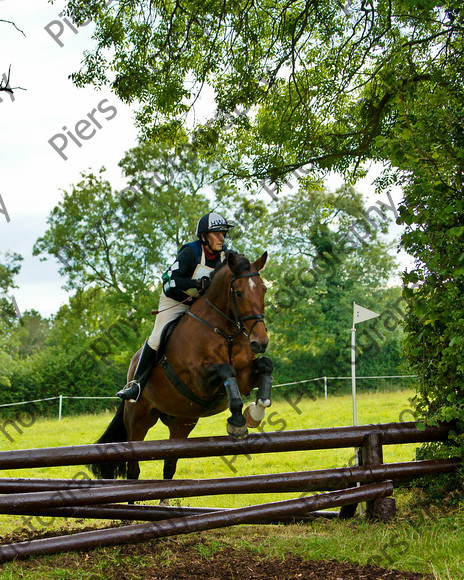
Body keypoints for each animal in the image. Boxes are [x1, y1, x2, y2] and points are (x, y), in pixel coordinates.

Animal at [89, 251, 274, 482]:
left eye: (263, 289)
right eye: (239, 293)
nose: (260, 342)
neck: (225, 332)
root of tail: (132, 369)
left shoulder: (245, 378)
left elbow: (265, 366)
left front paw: (254, 414)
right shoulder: (198, 382)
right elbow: (225, 370)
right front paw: (238, 421)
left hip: (182, 422)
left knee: (169, 465)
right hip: (138, 419)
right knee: (133, 468)